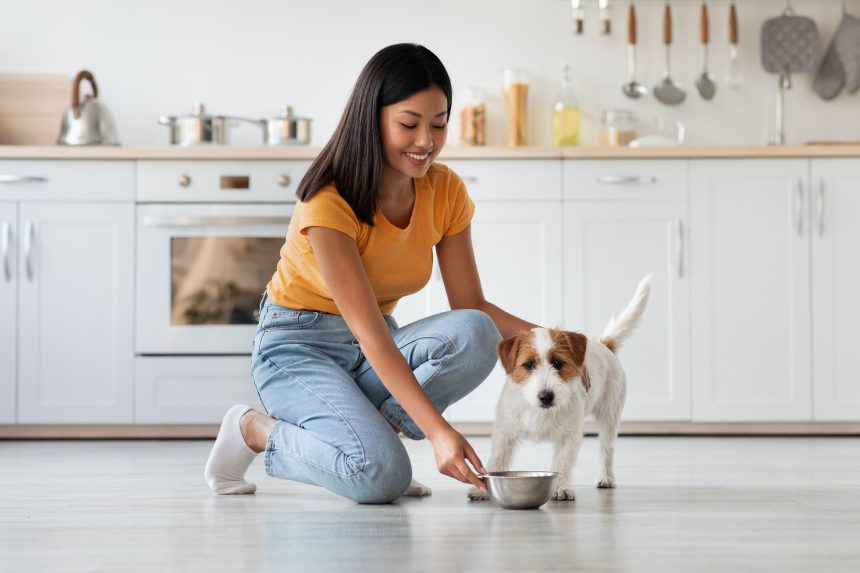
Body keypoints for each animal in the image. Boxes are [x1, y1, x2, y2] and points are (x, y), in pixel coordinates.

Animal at [470, 274, 652, 502]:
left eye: (557, 363)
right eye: (528, 365)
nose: (546, 397)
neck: (538, 410)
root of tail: (604, 344)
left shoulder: (569, 436)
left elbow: (562, 463)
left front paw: (561, 488)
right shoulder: (505, 433)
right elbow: (497, 459)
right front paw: (482, 489)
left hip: (609, 416)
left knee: (607, 450)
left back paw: (606, 478)